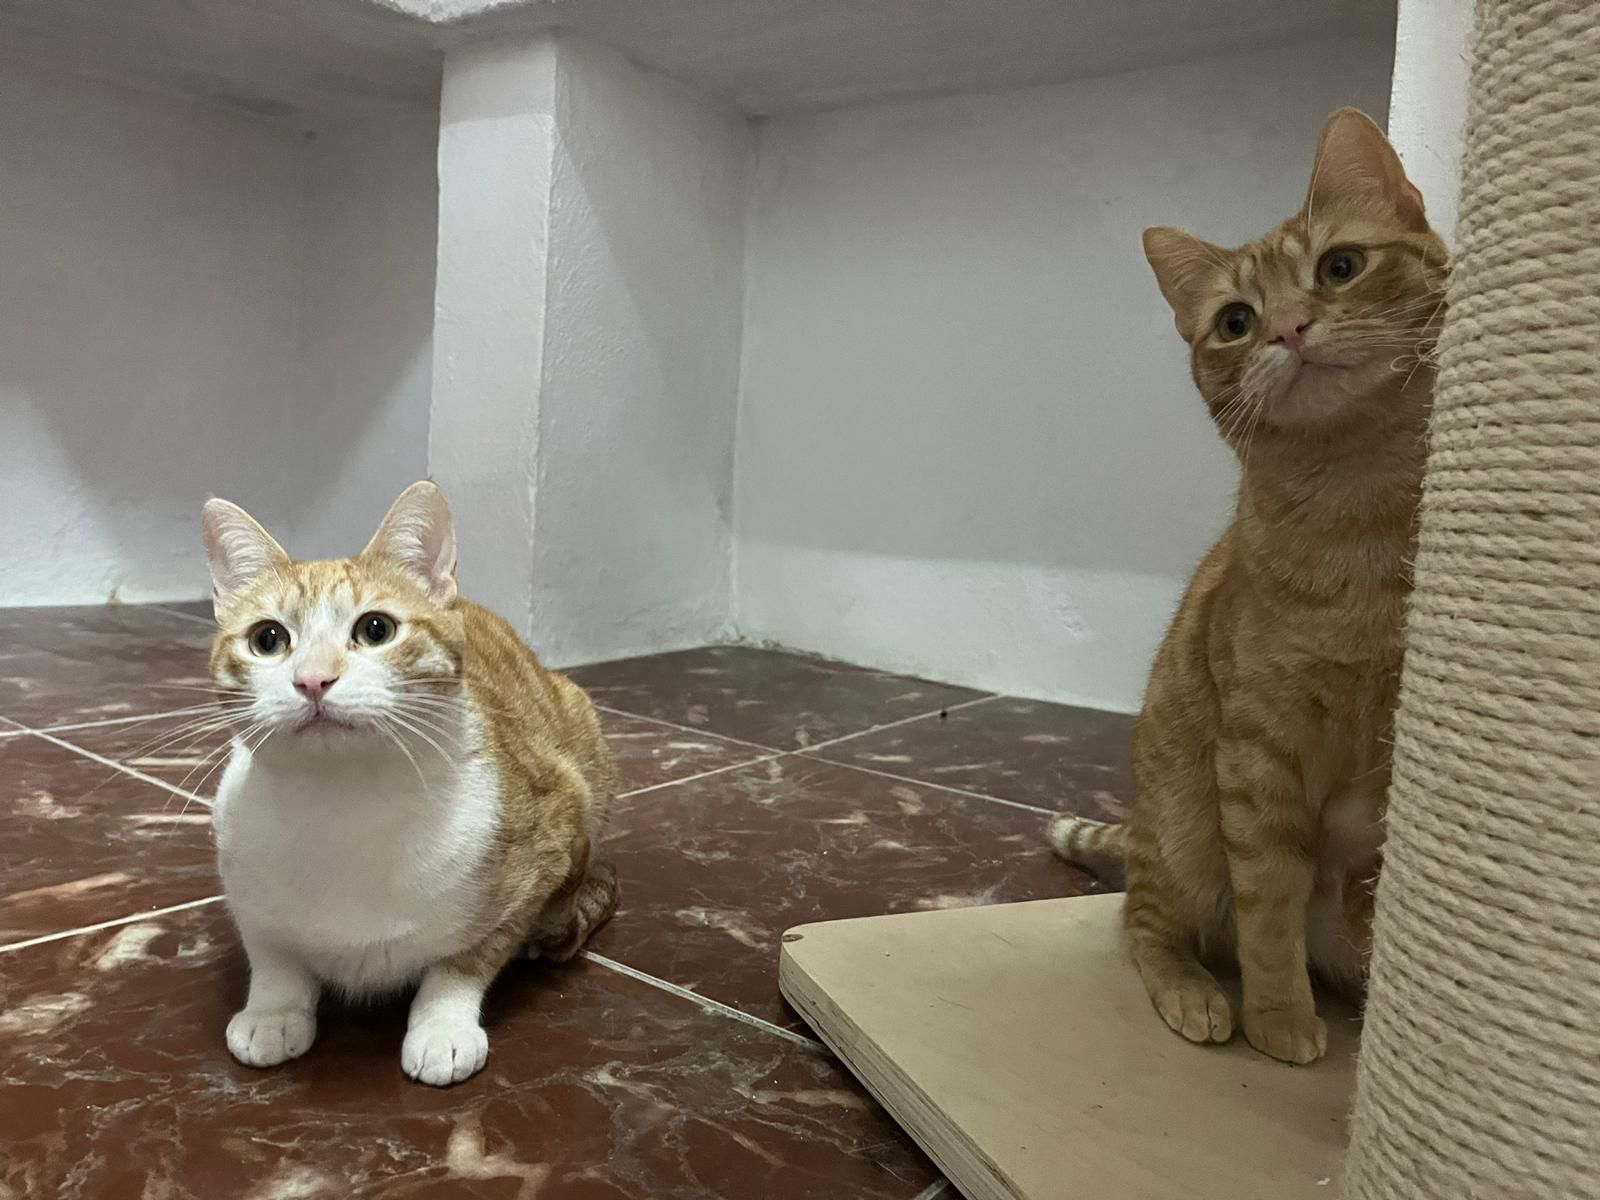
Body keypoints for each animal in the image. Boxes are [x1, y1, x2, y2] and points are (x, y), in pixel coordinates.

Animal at [201, 480, 619, 1086]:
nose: (313, 679)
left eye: (376, 629)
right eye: (268, 638)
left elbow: (467, 958)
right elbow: (273, 953)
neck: (344, 806)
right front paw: (272, 1011)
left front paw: (443, 1024)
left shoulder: (550, 833)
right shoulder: (242, 879)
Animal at [1048, 108, 1447, 1064]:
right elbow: (1269, 906)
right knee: (1143, 921)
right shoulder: (1259, 755)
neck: (1357, 514)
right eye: (1234, 320)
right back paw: (1196, 990)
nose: (1289, 329)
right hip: (1188, 836)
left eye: (1340, 267)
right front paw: (1277, 1019)